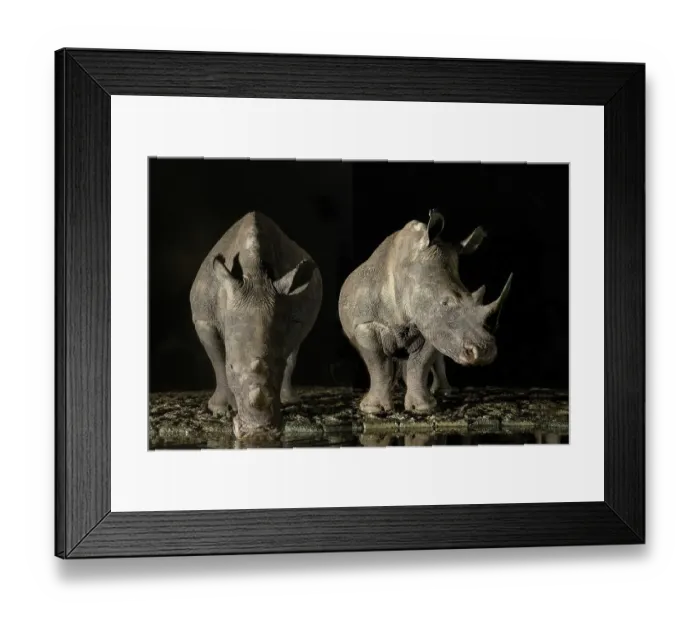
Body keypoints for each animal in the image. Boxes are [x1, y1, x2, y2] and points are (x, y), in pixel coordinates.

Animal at [190, 211, 322, 437]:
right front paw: (220, 410)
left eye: (277, 365)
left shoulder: (293, 316)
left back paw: (291, 402)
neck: (255, 275)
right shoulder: (204, 319)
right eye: (232, 367)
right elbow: (217, 361)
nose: (258, 430)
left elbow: (287, 353)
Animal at [338, 210, 512, 414]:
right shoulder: (365, 324)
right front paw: (374, 409)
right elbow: (378, 365)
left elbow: (420, 364)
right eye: (445, 302)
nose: (484, 352)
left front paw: (423, 407)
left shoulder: (432, 325)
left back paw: (443, 392)